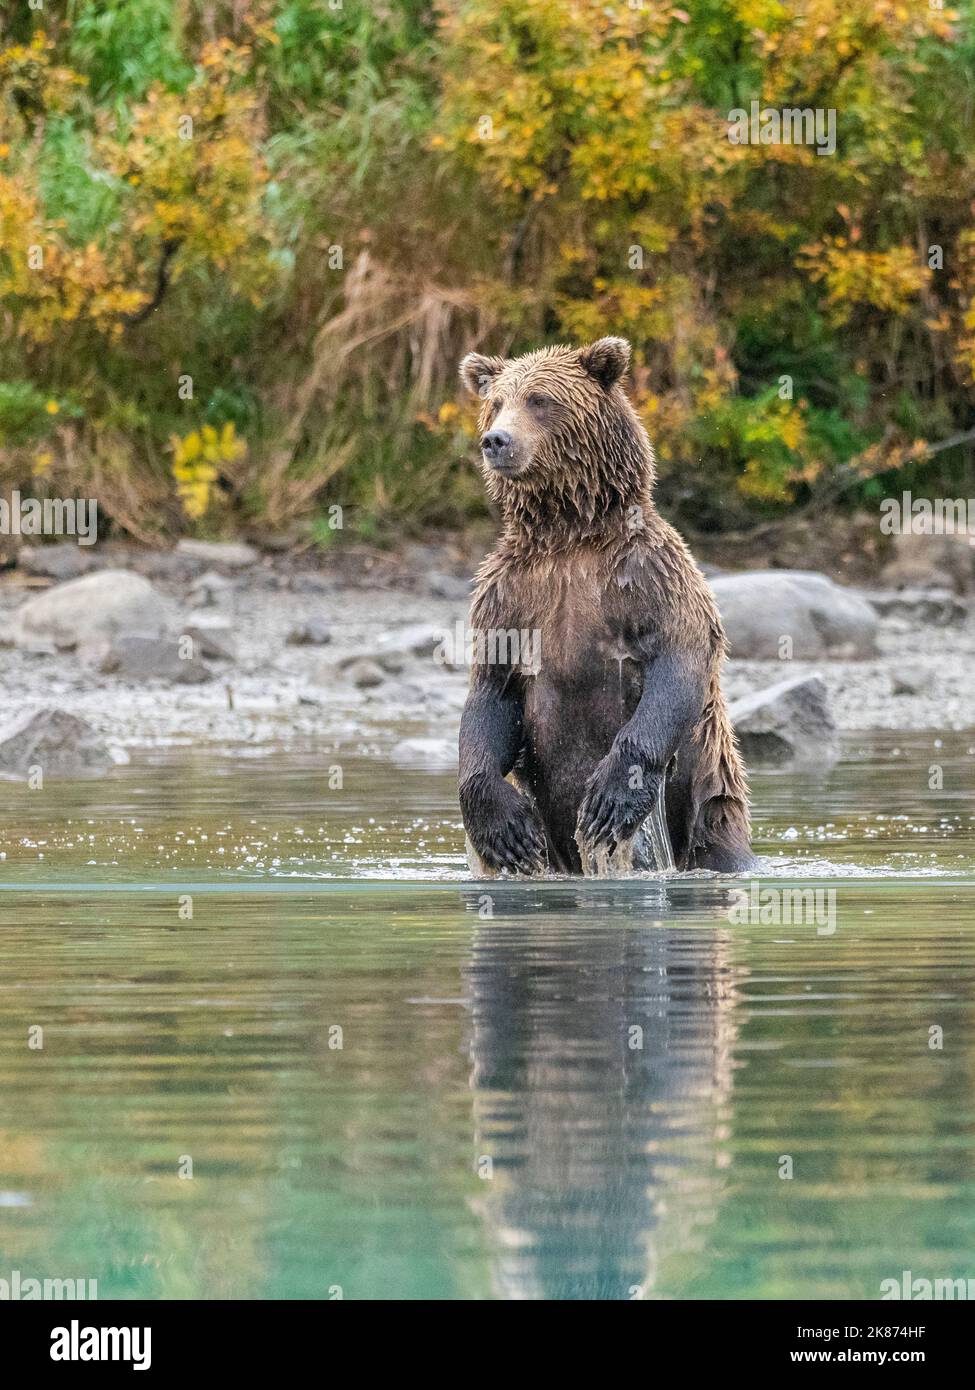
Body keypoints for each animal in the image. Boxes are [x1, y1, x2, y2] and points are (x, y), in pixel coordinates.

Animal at [456, 336, 754, 876]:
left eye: (539, 399)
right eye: (496, 402)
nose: (496, 440)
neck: (569, 533)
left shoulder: (650, 575)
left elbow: (677, 660)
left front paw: (611, 798)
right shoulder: (507, 595)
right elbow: (492, 690)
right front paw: (502, 826)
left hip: (710, 800)